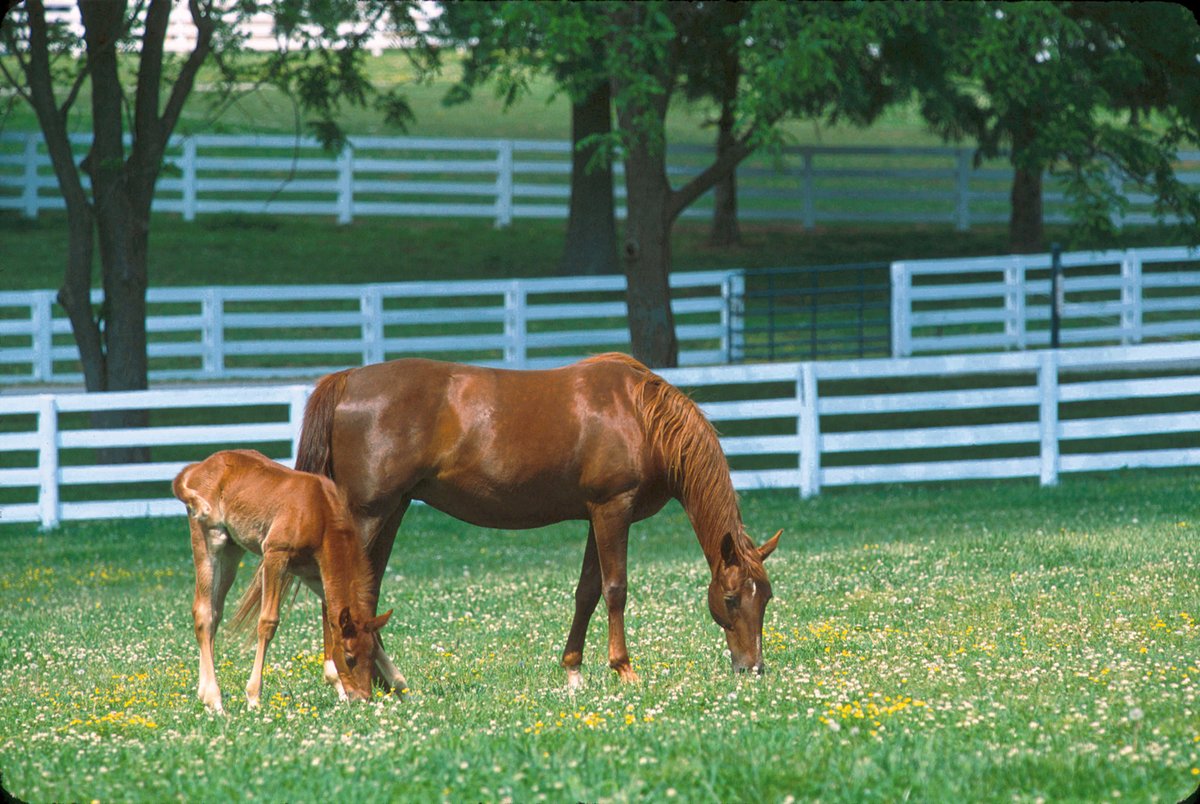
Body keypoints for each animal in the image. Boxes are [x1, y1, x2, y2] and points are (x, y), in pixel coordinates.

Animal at [174, 451, 391, 715]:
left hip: (231, 550)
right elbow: (268, 622)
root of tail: (196, 468)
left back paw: (205, 695)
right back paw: (214, 699)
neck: (320, 511)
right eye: (349, 657)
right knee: (203, 612)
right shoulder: (275, 556)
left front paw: (399, 686)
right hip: (209, 538)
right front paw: (254, 696)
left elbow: (332, 617)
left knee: (215, 613)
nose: (363, 699)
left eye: (371, 655)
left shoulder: (312, 574)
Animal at [290, 355, 777, 691]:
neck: (639, 414)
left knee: (366, 592)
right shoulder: (613, 509)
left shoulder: (595, 515)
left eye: (767, 598)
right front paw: (623, 669)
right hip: (368, 515)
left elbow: (587, 592)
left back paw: (383, 679)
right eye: (731, 598)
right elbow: (615, 589)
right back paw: (343, 678)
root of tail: (348, 379)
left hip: (392, 512)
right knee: (337, 592)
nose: (752, 668)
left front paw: (574, 671)